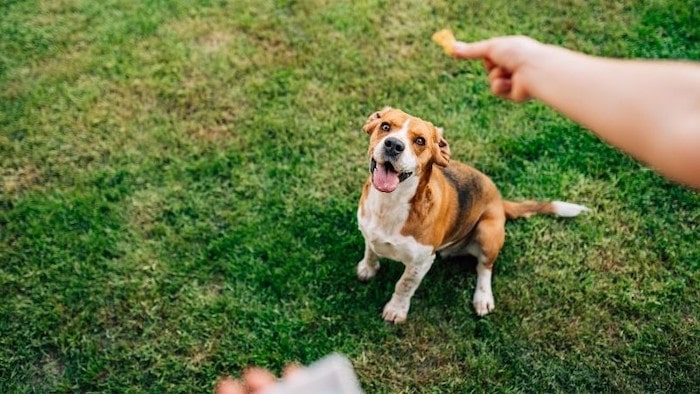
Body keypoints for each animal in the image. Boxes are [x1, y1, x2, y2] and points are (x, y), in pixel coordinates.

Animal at [356, 107, 592, 324]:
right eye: (385, 126)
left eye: (420, 141)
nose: (393, 145)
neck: (390, 204)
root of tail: (499, 200)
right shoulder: (369, 233)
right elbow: (370, 251)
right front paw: (368, 269)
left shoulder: (420, 263)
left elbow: (404, 285)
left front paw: (396, 310)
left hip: (487, 232)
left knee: (485, 267)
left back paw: (483, 298)